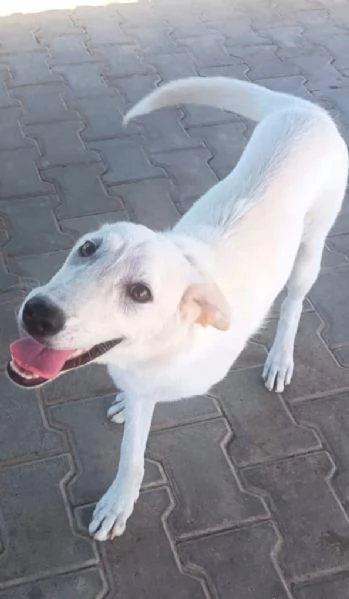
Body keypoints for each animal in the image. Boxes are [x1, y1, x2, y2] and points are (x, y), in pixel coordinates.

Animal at [6, 77, 346, 540]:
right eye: (87, 248)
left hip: (310, 249)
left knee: (294, 304)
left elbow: (133, 451)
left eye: (140, 293)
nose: (38, 314)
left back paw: (280, 358)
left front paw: (118, 503)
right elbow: (133, 430)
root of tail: (304, 110)